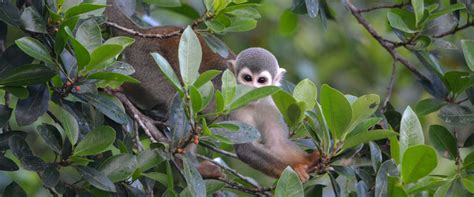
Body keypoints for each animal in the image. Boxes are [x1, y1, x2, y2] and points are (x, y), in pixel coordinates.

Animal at [229, 47, 318, 182]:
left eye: (261, 80)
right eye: (247, 78)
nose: (253, 90)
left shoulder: (270, 105)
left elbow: (277, 143)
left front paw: (309, 160)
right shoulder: (235, 105)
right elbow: (246, 148)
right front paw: (295, 169)